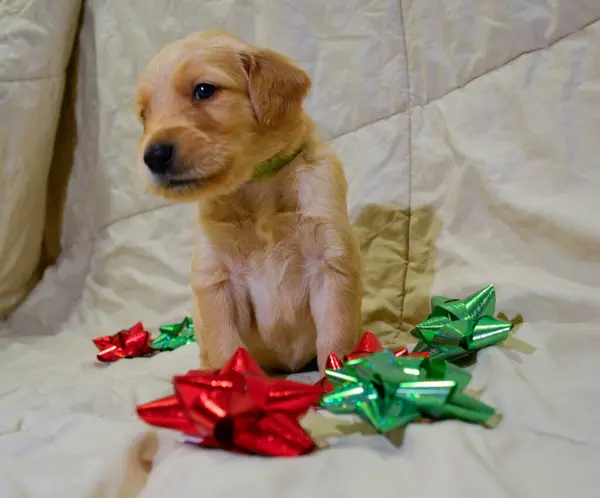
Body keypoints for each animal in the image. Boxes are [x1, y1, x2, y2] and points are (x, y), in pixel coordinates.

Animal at [136, 31, 360, 372]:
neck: (256, 187)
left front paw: (343, 381)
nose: (153, 156)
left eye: (204, 90)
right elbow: (225, 347)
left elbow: (336, 337)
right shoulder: (217, 281)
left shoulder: (330, 263)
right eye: (144, 114)